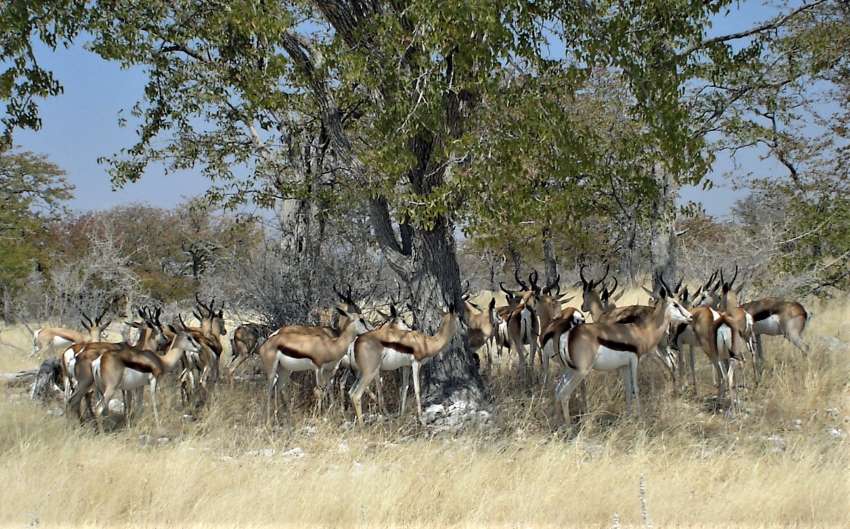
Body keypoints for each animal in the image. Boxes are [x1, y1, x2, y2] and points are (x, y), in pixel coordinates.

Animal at [346, 296, 458, 424]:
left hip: (360, 373)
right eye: (458, 317)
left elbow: (404, 389)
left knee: (351, 392)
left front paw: (402, 415)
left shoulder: (406, 366)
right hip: (370, 373)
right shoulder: (416, 364)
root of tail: (356, 342)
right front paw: (422, 420)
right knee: (357, 395)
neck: (426, 342)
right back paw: (362, 425)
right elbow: (417, 389)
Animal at [552, 278, 692, 422]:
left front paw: (629, 416)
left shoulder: (624, 366)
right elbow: (635, 388)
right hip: (580, 372)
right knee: (564, 394)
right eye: (675, 304)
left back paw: (558, 422)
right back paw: (568, 425)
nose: (690, 316)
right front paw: (640, 418)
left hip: (570, 370)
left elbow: (628, 389)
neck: (643, 330)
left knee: (557, 390)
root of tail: (568, 334)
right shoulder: (635, 361)